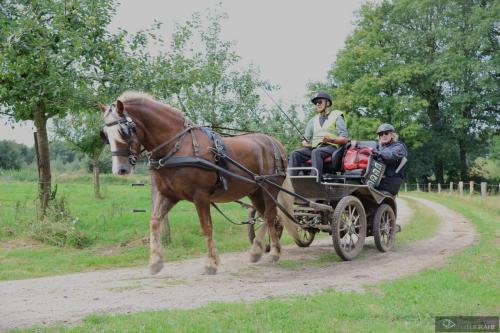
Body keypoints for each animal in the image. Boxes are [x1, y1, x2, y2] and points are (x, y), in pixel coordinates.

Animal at [97, 91, 288, 274]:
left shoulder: (201, 196)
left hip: (270, 187)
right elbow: (155, 221)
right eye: (105, 135)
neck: (178, 146)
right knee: (270, 217)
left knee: (269, 216)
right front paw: (156, 262)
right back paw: (270, 249)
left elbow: (206, 227)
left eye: (124, 131)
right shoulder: (168, 194)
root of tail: (276, 142)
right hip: (255, 191)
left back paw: (263, 251)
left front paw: (211, 263)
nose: (120, 170)